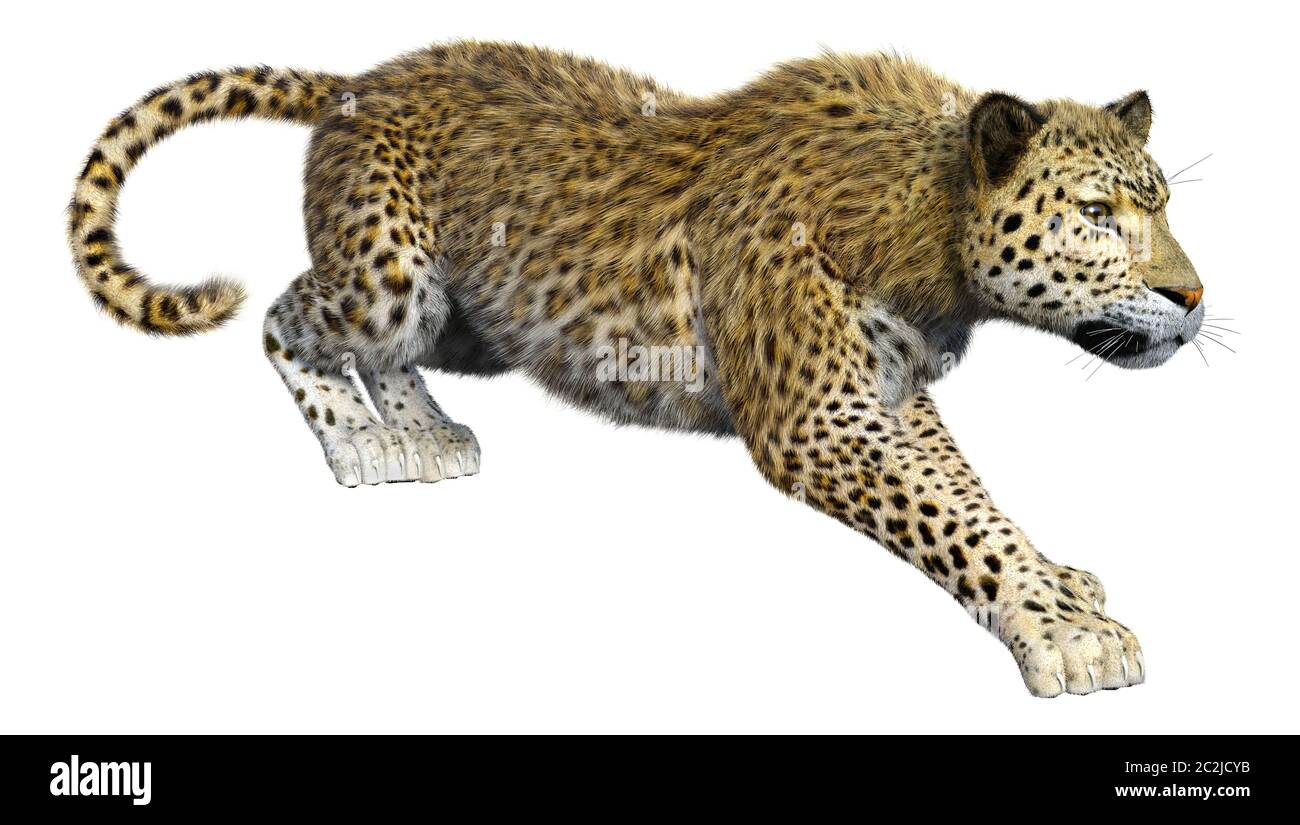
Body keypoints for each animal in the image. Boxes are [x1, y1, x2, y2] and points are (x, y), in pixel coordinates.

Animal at [68, 43, 1205, 697]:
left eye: (1161, 203)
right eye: (1098, 214)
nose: (1194, 299)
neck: (925, 229)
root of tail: (356, 84)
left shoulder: (881, 394)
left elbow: (969, 494)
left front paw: (1055, 582)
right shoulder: (817, 418)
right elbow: (953, 520)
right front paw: (1062, 630)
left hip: (472, 314)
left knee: (390, 352)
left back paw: (421, 433)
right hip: (386, 277)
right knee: (284, 313)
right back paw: (358, 442)